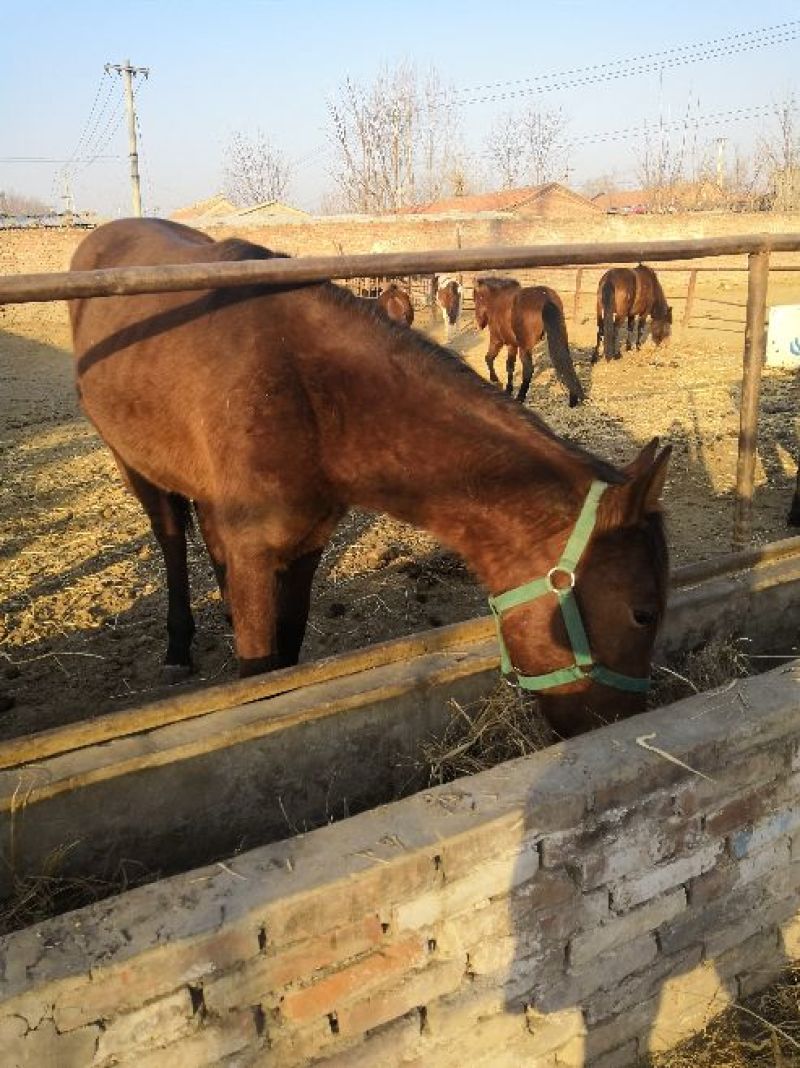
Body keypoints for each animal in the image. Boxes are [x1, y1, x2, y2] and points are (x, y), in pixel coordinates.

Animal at [473, 276, 585, 407]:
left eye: (476, 298)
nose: (479, 324)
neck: (498, 300)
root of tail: (546, 298)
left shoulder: (497, 340)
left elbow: (489, 358)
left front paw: (495, 380)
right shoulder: (512, 345)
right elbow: (510, 366)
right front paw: (508, 389)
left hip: (524, 348)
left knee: (528, 370)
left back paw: (520, 398)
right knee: (566, 363)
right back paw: (573, 398)